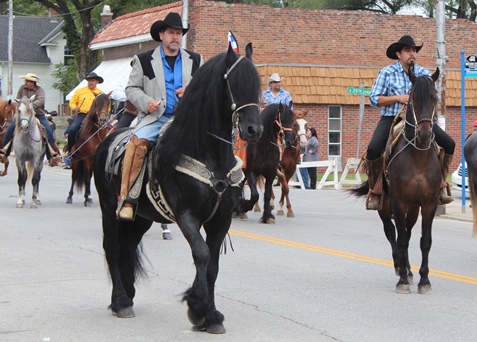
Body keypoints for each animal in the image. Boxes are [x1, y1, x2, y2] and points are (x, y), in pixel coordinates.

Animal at [93, 44, 262, 332]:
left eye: (257, 84)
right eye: (235, 83)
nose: (254, 129)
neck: (211, 155)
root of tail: (107, 140)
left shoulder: (221, 218)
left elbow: (213, 264)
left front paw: (212, 316)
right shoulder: (186, 214)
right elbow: (201, 254)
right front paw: (198, 309)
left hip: (141, 217)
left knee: (129, 246)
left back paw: (129, 293)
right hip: (109, 209)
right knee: (113, 248)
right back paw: (120, 302)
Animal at [348, 69, 440, 294]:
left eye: (434, 98)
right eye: (413, 99)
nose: (424, 135)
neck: (418, 157)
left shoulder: (429, 203)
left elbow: (425, 241)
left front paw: (424, 280)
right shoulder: (398, 202)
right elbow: (402, 239)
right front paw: (403, 281)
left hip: (413, 207)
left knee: (407, 229)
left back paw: (408, 269)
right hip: (384, 202)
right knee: (392, 232)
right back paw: (400, 268)